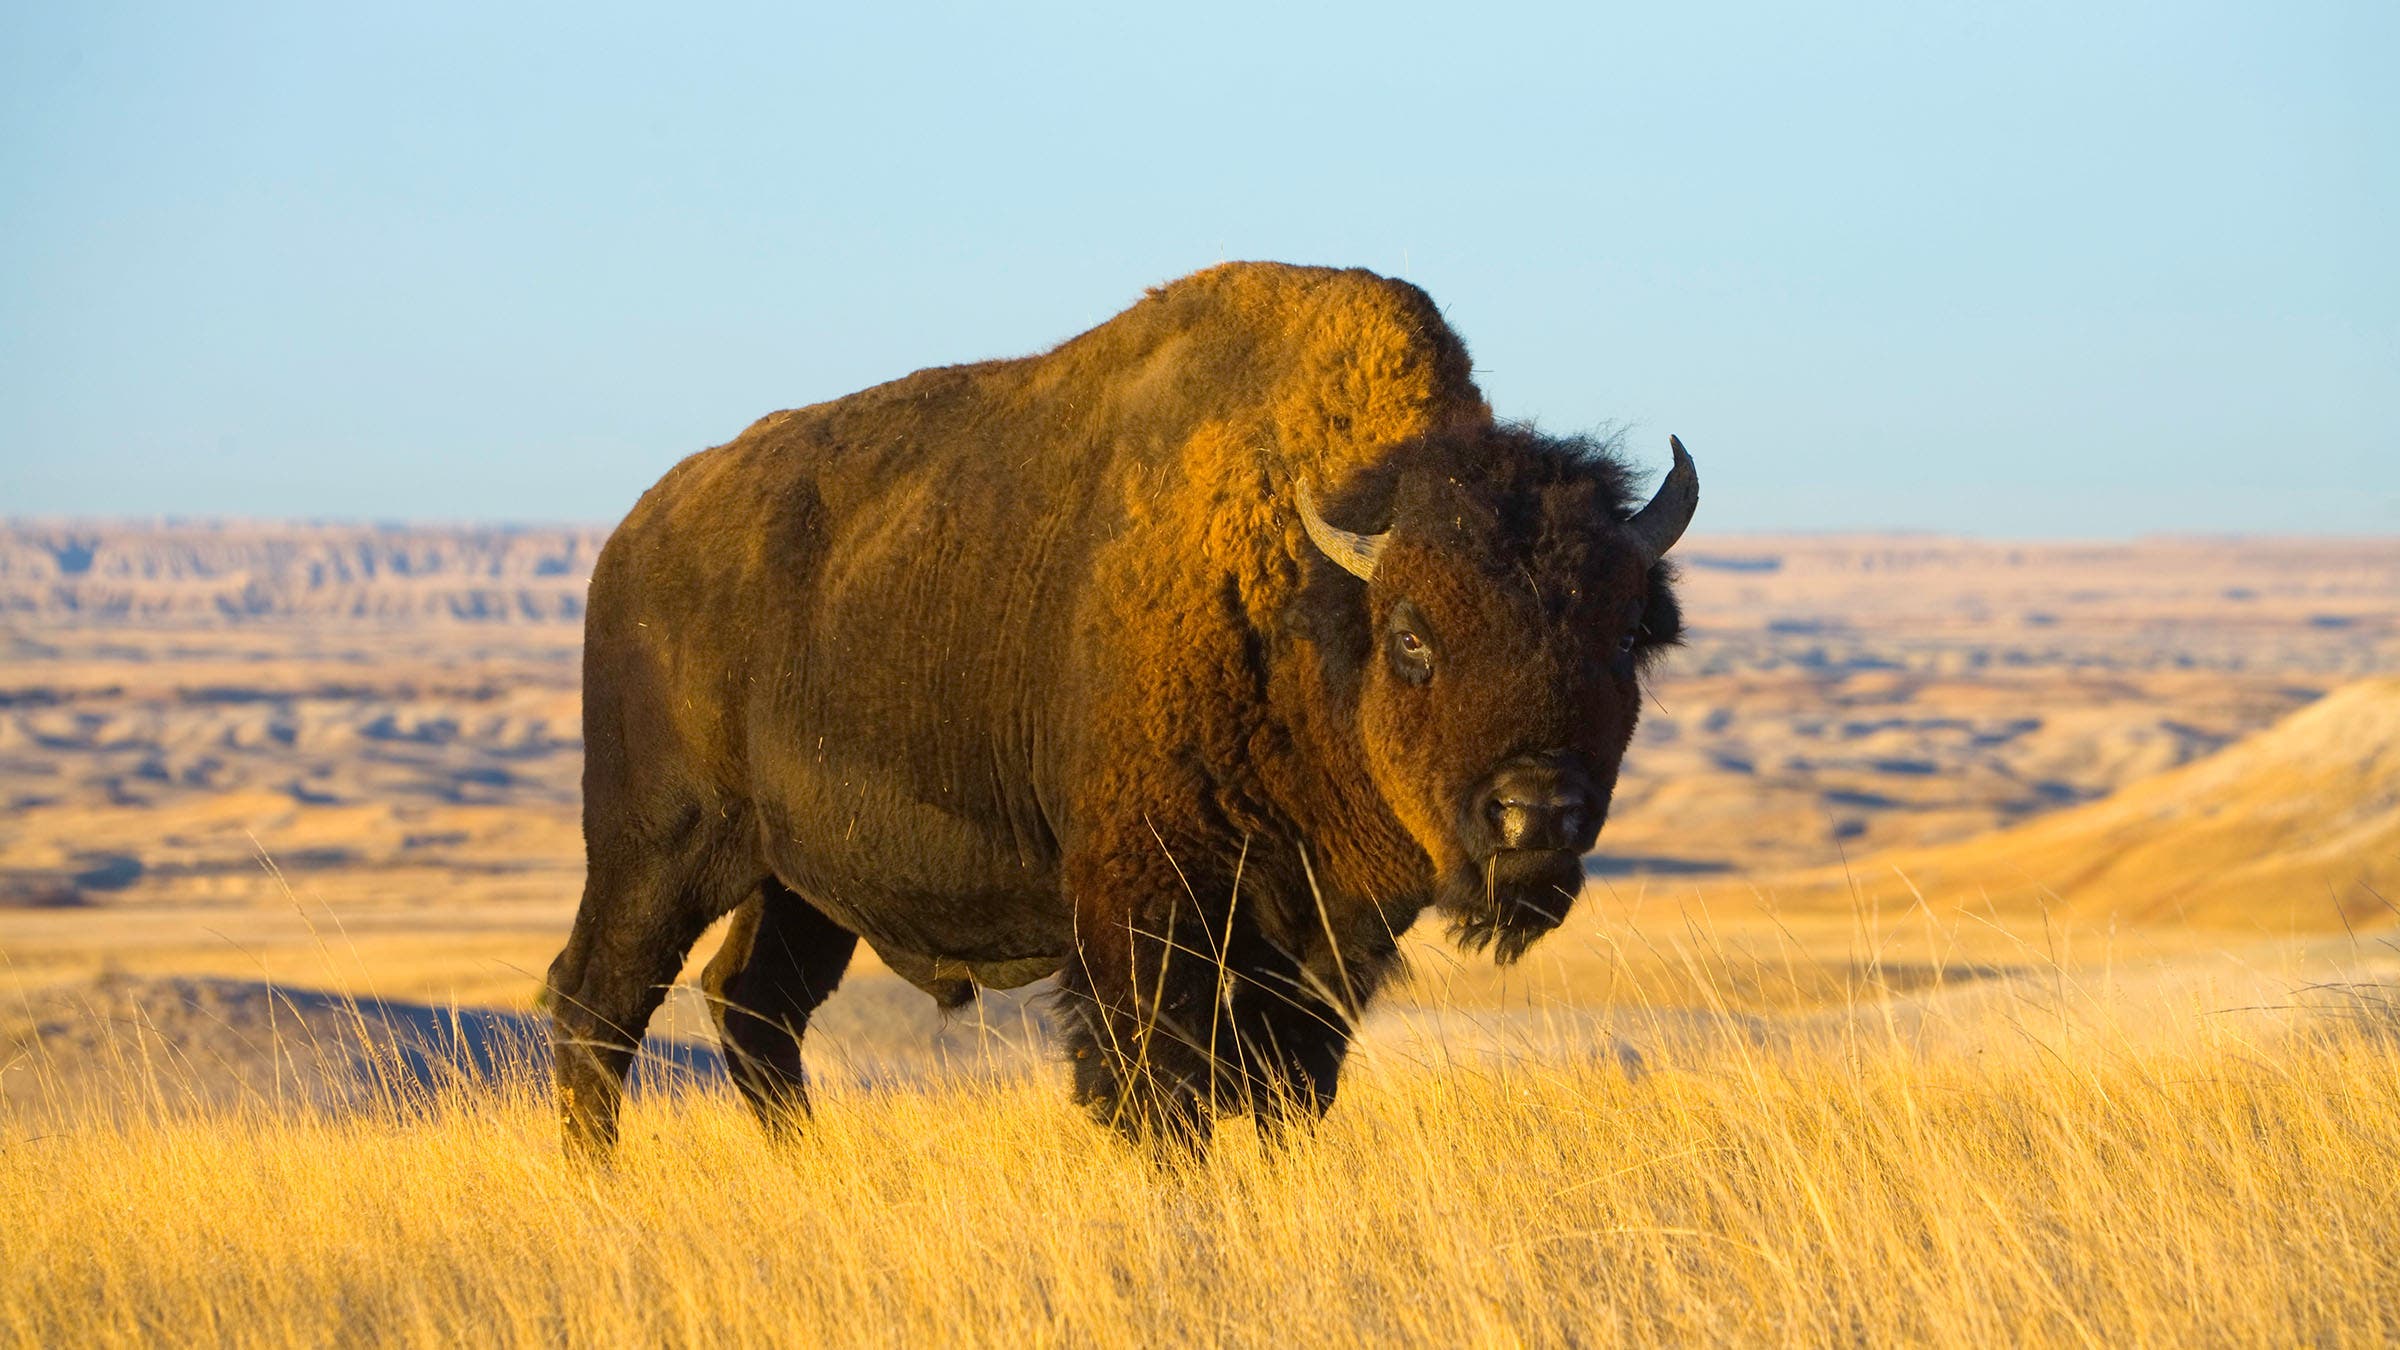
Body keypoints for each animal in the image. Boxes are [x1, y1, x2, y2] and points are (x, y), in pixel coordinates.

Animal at [543, 262, 1697, 1157]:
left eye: (1623, 634)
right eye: (1414, 635)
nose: (1534, 811)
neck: (1310, 600)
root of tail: (634, 537)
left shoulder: (1318, 942)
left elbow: (1288, 1088)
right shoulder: (1145, 902)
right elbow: (1155, 1084)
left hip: (799, 884)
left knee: (754, 1003)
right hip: (660, 848)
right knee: (597, 1001)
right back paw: (602, 1182)